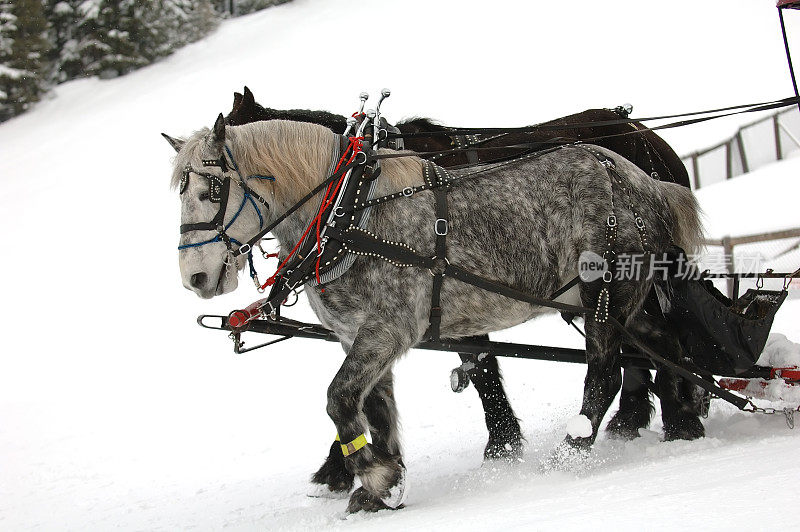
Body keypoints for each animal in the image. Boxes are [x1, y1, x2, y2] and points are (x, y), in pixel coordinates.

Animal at [167, 114, 700, 512]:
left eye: (213, 189)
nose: (195, 277)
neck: (352, 213)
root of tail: (643, 180)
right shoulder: (359, 336)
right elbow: (375, 407)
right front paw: (383, 482)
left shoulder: (389, 328)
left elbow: (339, 398)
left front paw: (375, 476)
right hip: (622, 300)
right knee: (665, 345)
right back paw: (682, 424)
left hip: (606, 294)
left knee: (607, 371)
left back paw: (573, 450)